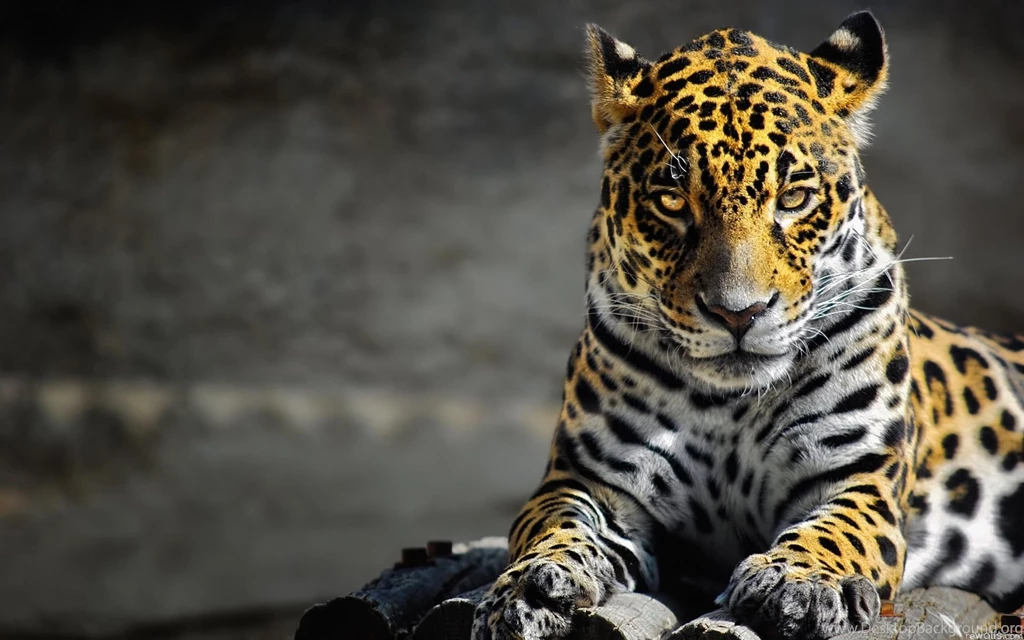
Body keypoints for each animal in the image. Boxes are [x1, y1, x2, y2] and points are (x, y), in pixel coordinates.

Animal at [470, 11, 1024, 640]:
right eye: (671, 202)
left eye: (795, 197)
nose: (738, 312)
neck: (729, 406)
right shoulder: (588, 479)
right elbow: (551, 524)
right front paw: (529, 588)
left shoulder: (860, 477)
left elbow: (836, 531)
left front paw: (798, 582)